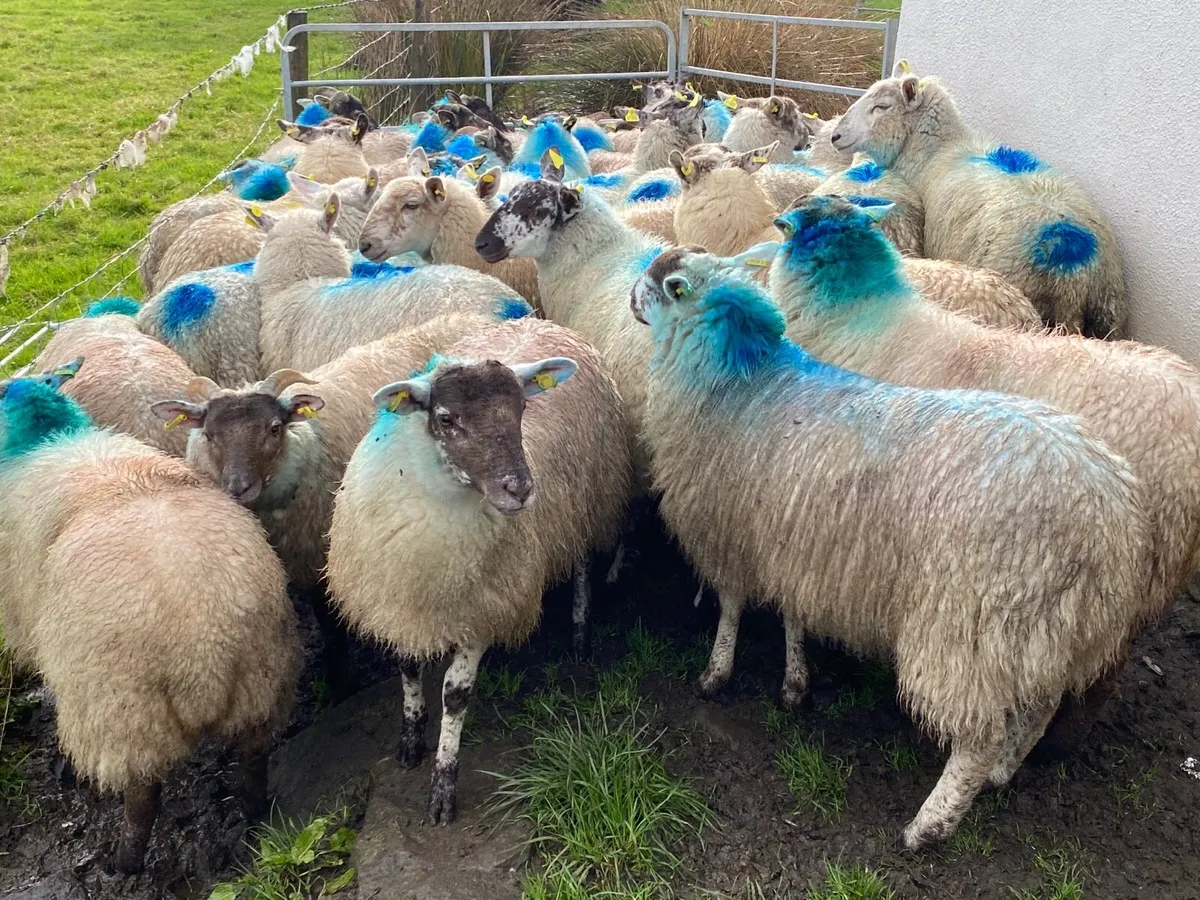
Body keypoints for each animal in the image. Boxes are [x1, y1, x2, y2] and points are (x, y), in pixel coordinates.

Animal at [0, 362, 299, 874]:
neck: (43, 438)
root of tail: (203, 651)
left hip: (125, 713)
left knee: (143, 798)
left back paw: (123, 862)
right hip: (262, 676)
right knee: (253, 757)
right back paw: (256, 814)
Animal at [327, 316, 631, 823]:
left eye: (522, 409)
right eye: (446, 419)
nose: (520, 489)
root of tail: (538, 320)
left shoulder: (481, 608)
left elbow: (456, 695)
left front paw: (443, 786)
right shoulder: (400, 601)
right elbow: (408, 668)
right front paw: (411, 739)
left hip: (588, 499)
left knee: (583, 561)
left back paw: (579, 630)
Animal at [629, 248, 1147, 850]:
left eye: (660, 285)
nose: (630, 297)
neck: (740, 381)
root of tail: (1105, 515)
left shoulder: (727, 532)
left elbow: (732, 608)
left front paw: (716, 674)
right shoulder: (797, 545)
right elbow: (791, 615)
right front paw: (795, 684)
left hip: (969, 627)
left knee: (978, 738)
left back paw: (930, 824)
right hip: (1043, 633)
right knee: (1036, 711)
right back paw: (1001, 776)